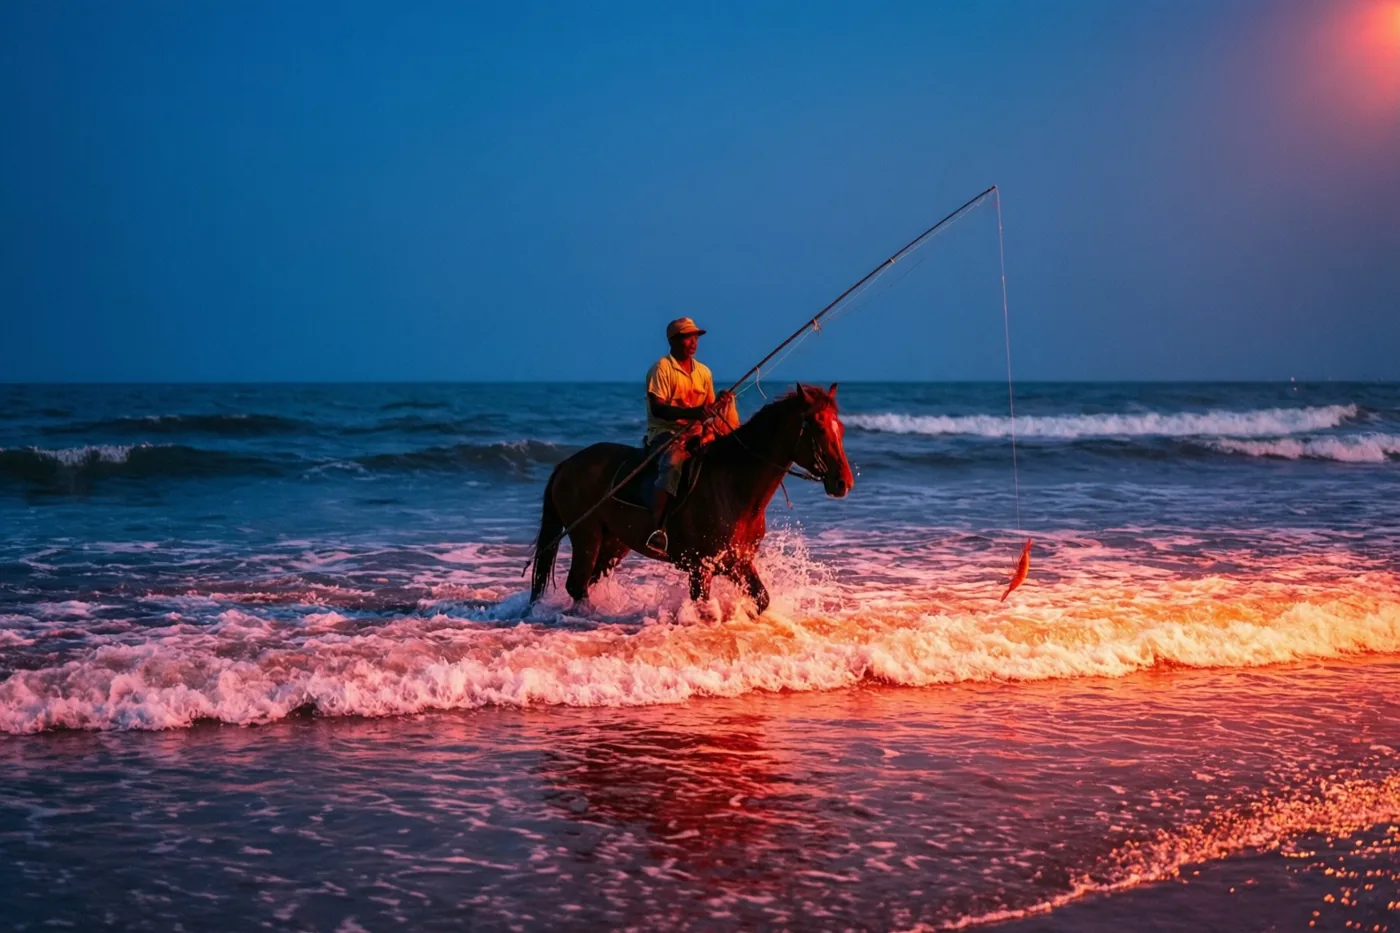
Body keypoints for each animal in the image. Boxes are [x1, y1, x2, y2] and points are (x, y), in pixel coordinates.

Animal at [527, 383, 854, 614]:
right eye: (819, 428)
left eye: (841, 428)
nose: (843, 482)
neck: (735, 488)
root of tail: (567, 464)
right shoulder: (700, 567)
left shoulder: (737, 563)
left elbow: (761, 599)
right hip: (587, 536)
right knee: (577, 585)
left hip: (613, 544)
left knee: (588, 582)